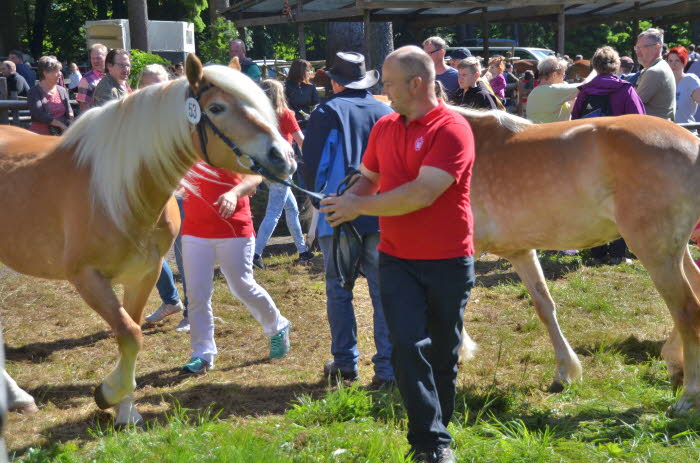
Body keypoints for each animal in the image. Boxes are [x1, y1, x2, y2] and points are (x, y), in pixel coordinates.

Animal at [0, 54, 296, 424]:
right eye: (216, 108)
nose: (283, 156)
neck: (119, 190)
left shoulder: (144, 274)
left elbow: (131, 334)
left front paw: (125, 409)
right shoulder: (86, 277)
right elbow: (130, 333)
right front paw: (109, 393)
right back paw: (17, 396)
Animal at [454, 107, 700, 416]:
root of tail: (693, 143)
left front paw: (460, 352)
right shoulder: (521, 252)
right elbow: (544, 307)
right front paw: (565, 371)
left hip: (655, 252)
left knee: (687, 310)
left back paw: (688, 395)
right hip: (674, 251)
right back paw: (674, 363)